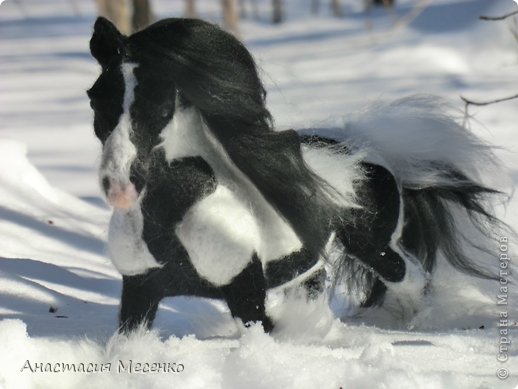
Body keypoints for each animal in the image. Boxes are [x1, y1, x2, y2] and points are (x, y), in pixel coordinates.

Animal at [88, 17, 508, 334]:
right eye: (95, 98)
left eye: (161, 109)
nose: (120, 187)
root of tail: (369, 152)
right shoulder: (139, 291)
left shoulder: (246, 294)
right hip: (310, 267)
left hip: (375, 247)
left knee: (413, 278)